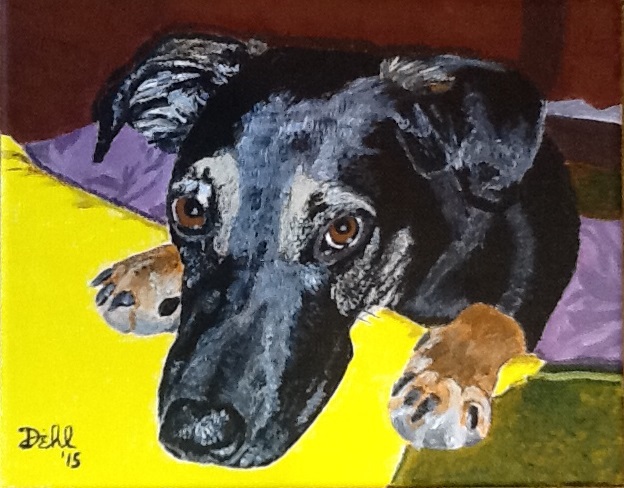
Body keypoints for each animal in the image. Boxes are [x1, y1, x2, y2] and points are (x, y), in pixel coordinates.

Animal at [89, 35, 579, 467]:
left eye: (343, 230)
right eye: (188, 210)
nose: (197, 432)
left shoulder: (536, 247)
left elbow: (494, 316)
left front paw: (446, 379)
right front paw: (154, 268)